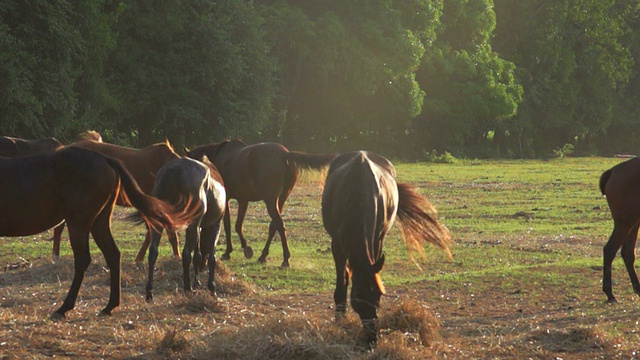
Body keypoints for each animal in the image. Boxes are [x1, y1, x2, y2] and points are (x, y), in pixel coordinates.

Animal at [322, 150, 452, 346]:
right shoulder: (337, 244)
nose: (372, 338)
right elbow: (341, 280)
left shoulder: (377, 240)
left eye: (377, 298)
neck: (357, 193)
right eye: (358, 301)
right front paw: (339, 318)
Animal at [596, 159, 640, 302]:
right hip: (625, 223)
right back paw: (609, 293)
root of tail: (613, 171)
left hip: (633, 223)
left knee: (627, 253)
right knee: (610, 250)